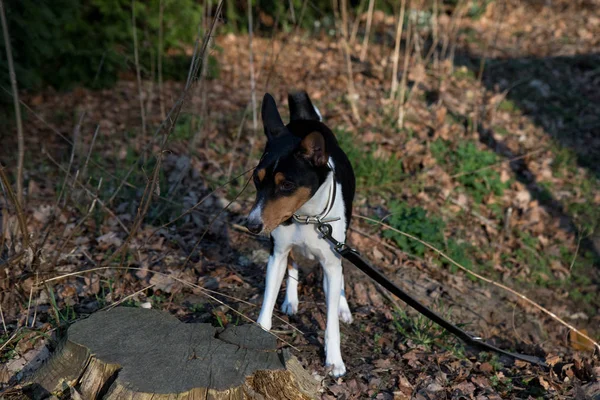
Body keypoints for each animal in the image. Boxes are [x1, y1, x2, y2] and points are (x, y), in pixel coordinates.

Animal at [245, 90, 354, 376]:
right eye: (257, 179)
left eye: (287, 185)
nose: (252, 224)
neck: (307, 216)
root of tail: (306, 119)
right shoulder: (277, 254)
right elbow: (267, 304)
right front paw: (259, 334)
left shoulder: (331, 261)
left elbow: (331, 323)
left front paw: (334, 359)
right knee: (293, 263)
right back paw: (291, 301)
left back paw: (342, 306)